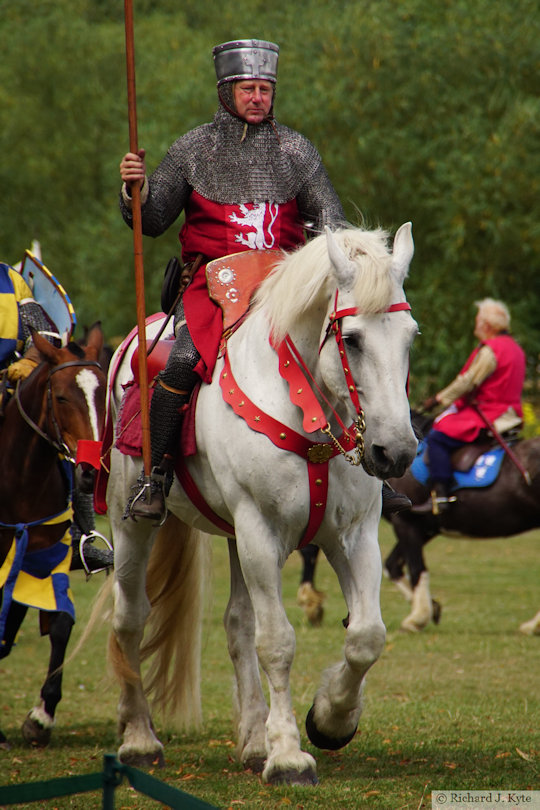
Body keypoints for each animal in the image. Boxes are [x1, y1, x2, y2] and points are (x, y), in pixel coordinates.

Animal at [0, 322, 106, 744]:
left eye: (102, 395)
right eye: (60, 397)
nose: (90, 472)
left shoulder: (46, 555)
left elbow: (60, 623)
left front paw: (42, 715)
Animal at [104, 221, 418, 784]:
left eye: (409, 337)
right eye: (353, 339)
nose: (396, 452)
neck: (306, 401)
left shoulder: (354, 533)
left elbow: (366, 635)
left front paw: (330, 719)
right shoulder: (260, 531)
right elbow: (277, 642)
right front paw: (290, 755)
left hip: (234, 536)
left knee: (236, 624)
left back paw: (253, 742)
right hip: (134, 522)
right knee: (131, 618)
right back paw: (140, 739)